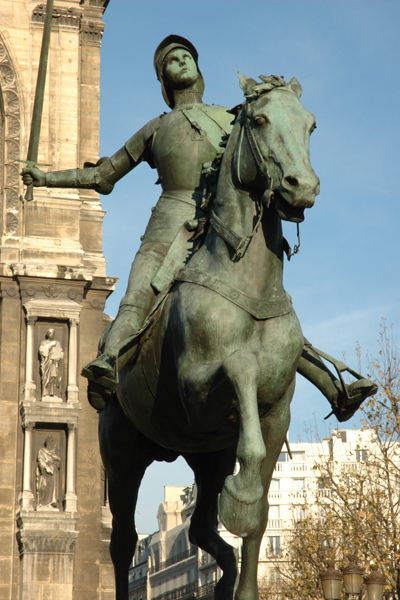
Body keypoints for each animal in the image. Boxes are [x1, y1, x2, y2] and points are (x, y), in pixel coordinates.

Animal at [98, 74, 320, 600]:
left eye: (310, 125)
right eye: (259, 119)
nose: (301, 187)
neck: (248, 287)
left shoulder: (275, 413)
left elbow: (260, 515)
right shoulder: (195, 389)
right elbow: (240, 366)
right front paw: (240, 497)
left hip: (206, 456)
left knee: (199, 528)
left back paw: (223, 576)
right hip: (121, 454)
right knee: (121, 542)